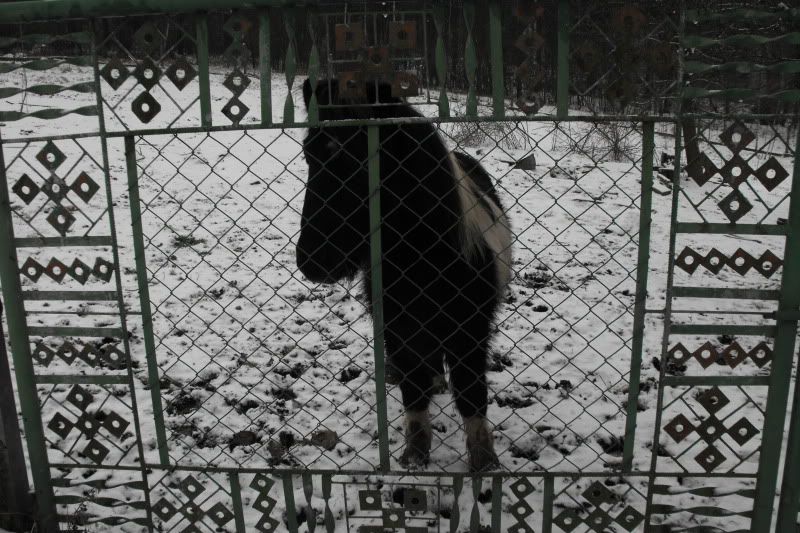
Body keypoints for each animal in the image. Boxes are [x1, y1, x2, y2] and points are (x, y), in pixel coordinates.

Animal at [296, 78, 512, 471]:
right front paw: (415, 452)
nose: (312, 262)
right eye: (309, 155)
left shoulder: (470, 333)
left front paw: (483, 459)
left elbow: (471, 392)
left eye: (360, 159)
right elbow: (413, 389)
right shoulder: (397, 330)